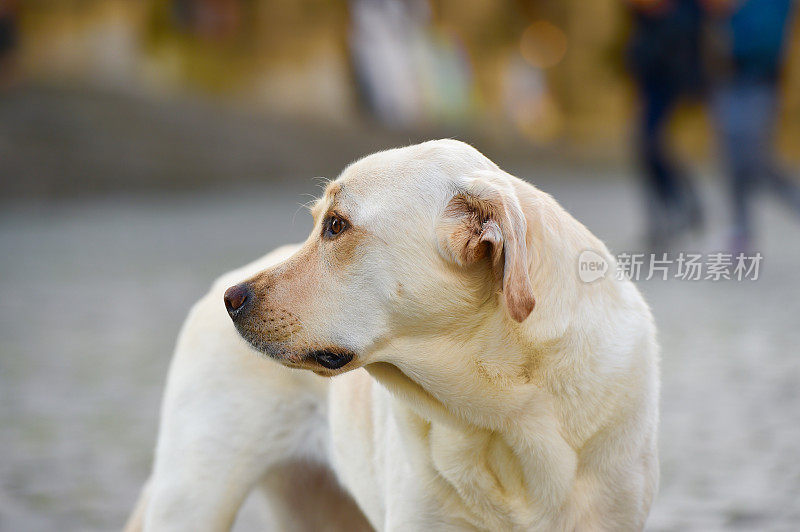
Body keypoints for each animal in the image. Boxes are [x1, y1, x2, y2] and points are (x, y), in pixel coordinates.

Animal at [128, 139, 660, 528]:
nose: (233, 301)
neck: (507, 414)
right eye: (322, 222)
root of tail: (217, 280)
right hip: (193, 499)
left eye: (336, 225)